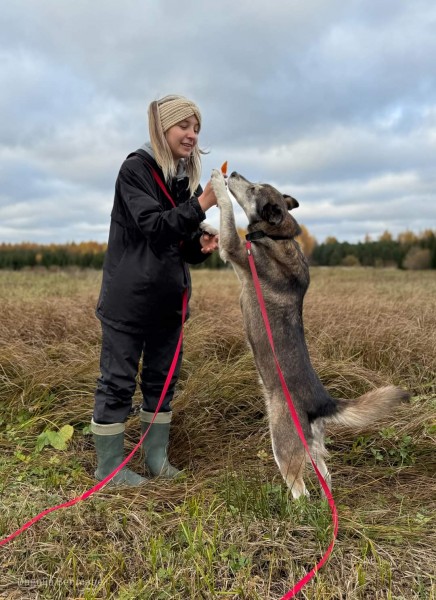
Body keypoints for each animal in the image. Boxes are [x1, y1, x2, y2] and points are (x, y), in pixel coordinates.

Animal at [211, 169, 409, 499]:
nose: (234, 172)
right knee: (325, 476)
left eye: (252, 189)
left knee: (299, 489)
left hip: (282, 442)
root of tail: (321, 402)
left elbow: (226, 216)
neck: (276, 236)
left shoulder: (234, 250)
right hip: (313, 447)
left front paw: (215, 183)